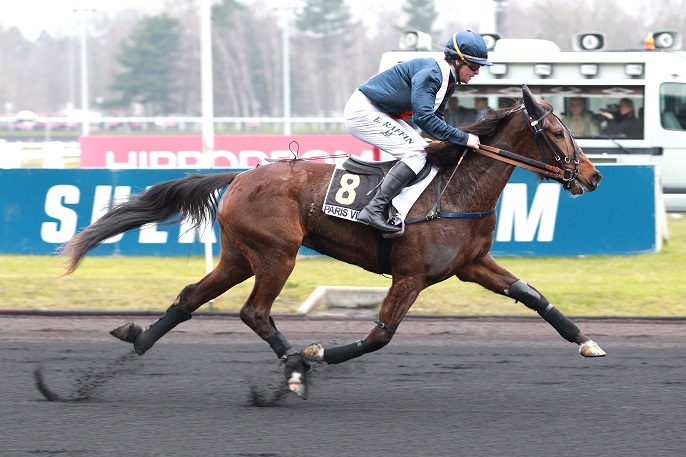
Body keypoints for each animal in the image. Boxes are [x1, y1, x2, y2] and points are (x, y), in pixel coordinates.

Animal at [60, 85, 608, 400]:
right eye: (558, 132)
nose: (594, 175)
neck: (456, 189)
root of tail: (240, 175)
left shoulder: (473, 263)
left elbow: (532, 296)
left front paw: (587, 340)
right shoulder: (410, 275)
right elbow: (379, 336)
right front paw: (319, 354)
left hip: (239, 257)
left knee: (191, 297)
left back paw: (139, 339)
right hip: (277, 255)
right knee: (254, 313)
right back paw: (296, 367)